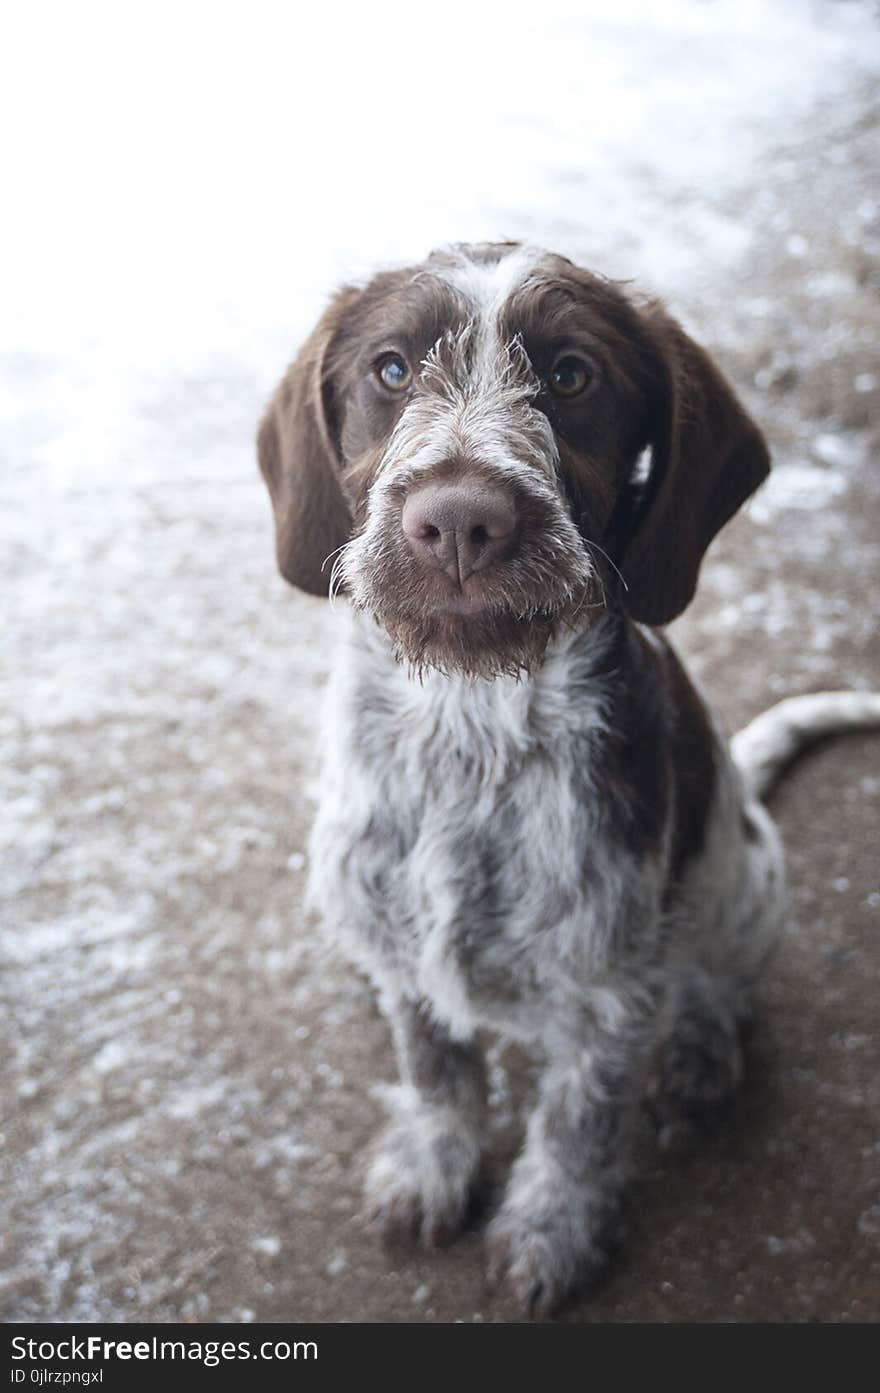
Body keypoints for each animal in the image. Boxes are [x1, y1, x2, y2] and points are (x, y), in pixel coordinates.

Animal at [256, 242, 880, 1314]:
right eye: (391, 369)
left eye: (572, 376)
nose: (459, 520)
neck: (467, 734)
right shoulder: (406, 955)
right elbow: (439, 1074)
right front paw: (433, 1165)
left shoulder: (605, 995)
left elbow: (576, 1127)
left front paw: (552, 1230)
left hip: (752, 884)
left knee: (718, 981)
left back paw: (703, 1052)